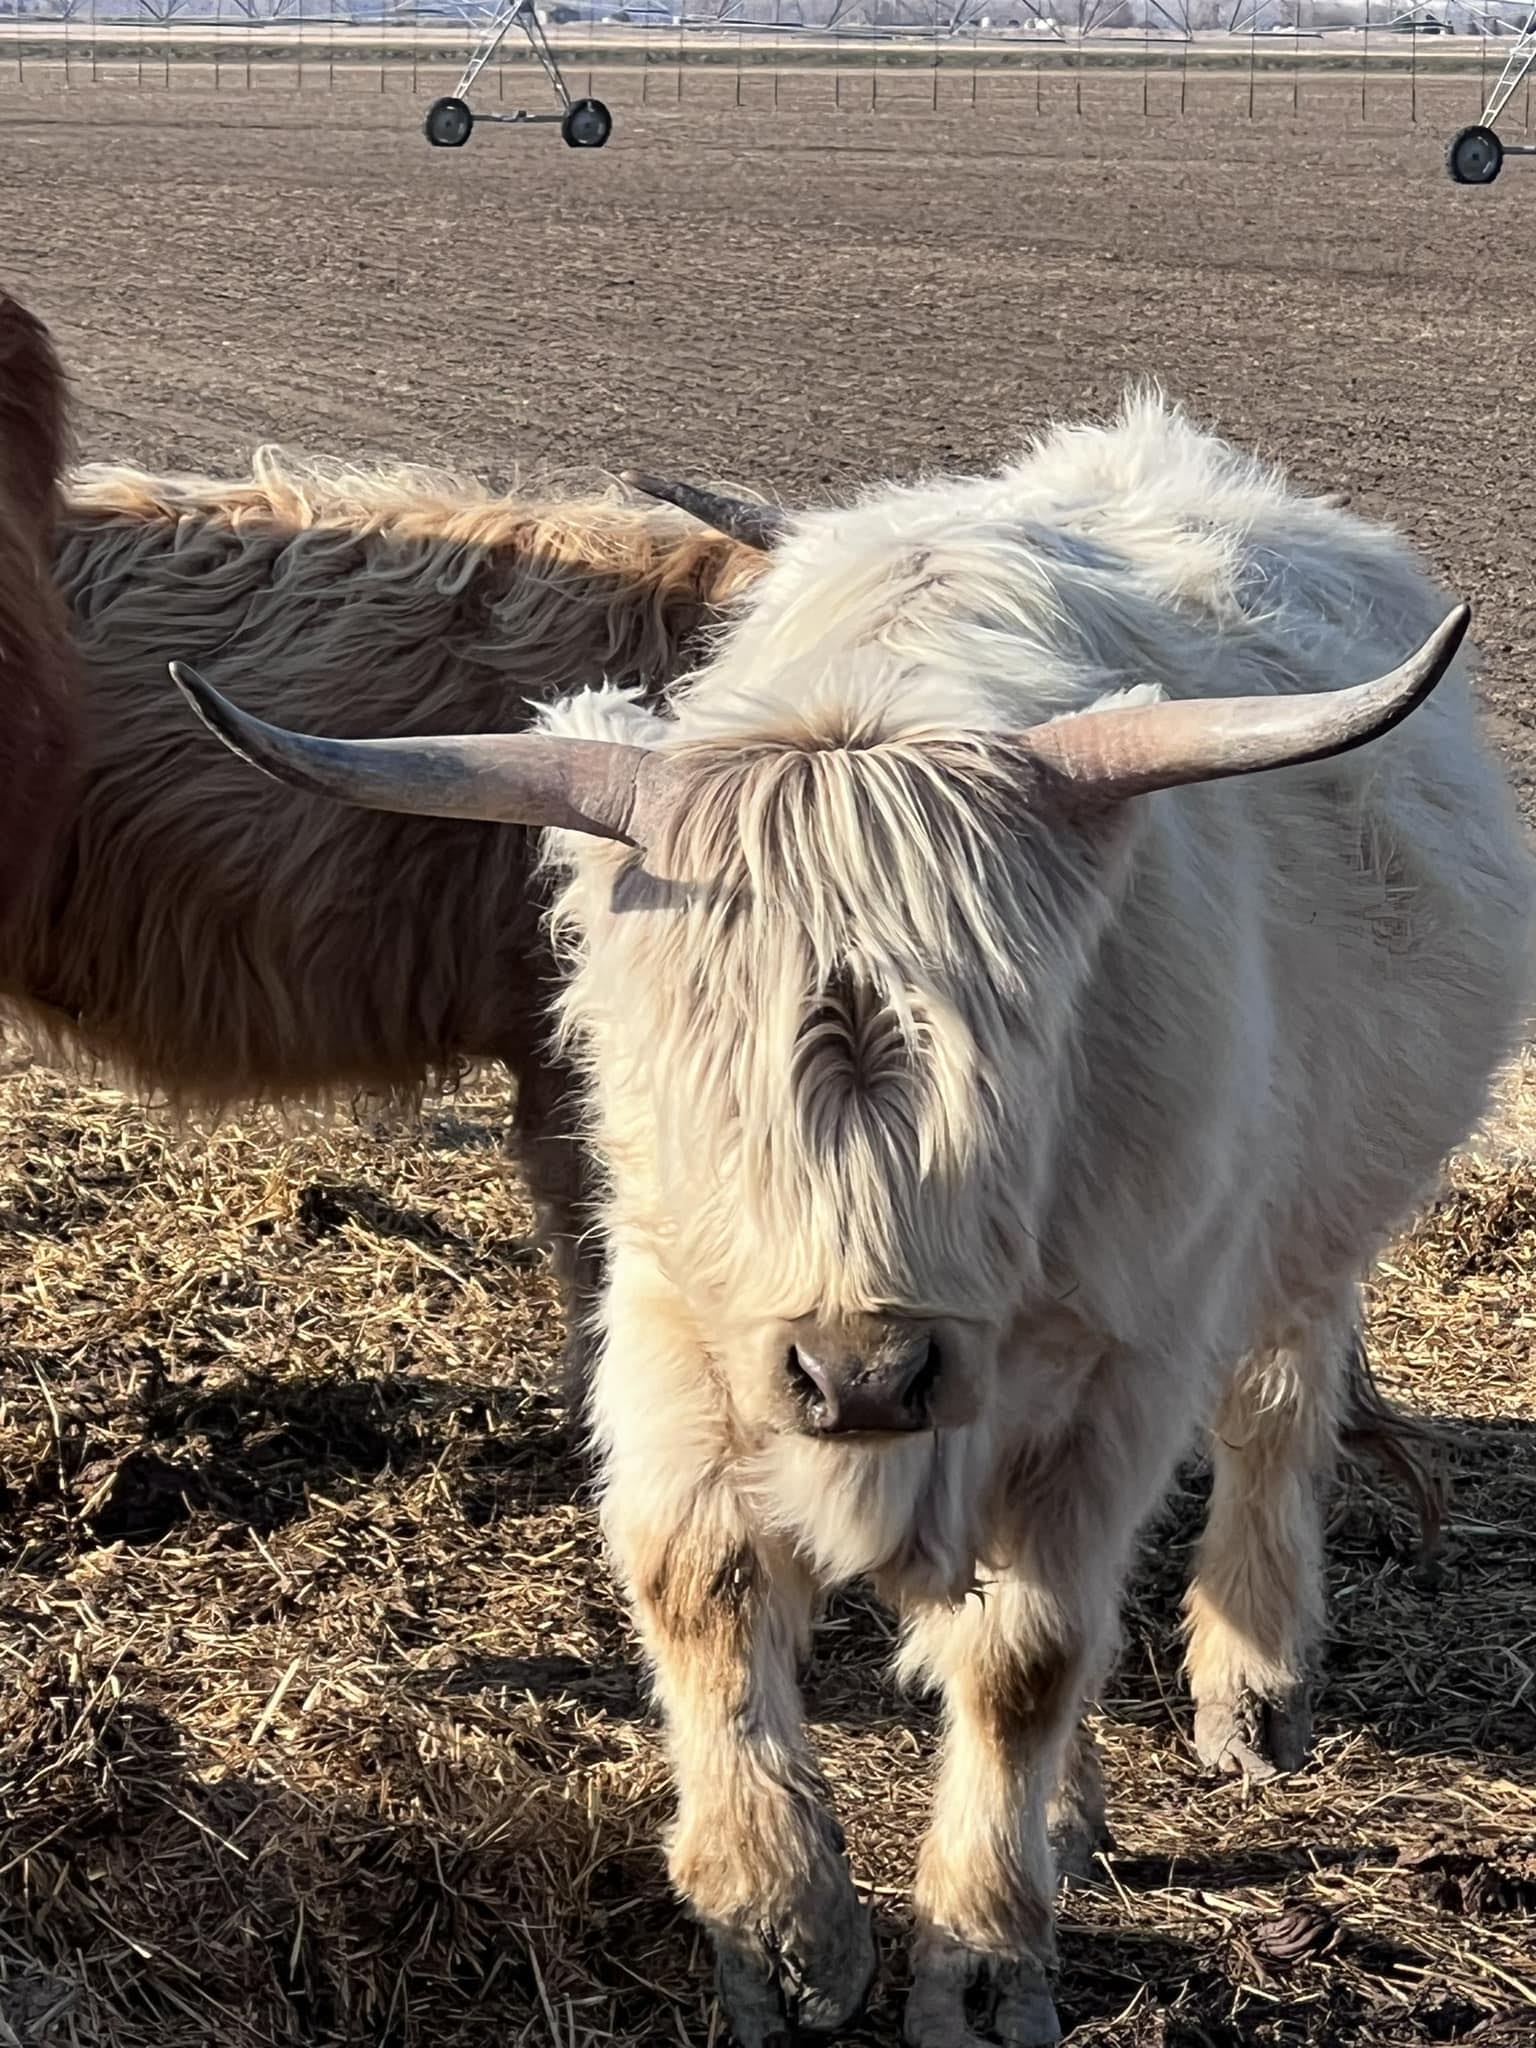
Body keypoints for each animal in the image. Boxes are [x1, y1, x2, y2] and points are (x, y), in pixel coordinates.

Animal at [173, 391, 1535, 2046]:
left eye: (1016, 1047)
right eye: (705, 1062)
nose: (865, 1374)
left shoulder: (1121, 1353)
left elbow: (1028, 1654)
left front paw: (984, 1961)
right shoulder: (675, 1317)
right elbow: (699, 1584)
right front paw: (780, 1928)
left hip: (1309, 1219)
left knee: (1280, 1402)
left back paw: (1252, 1685)